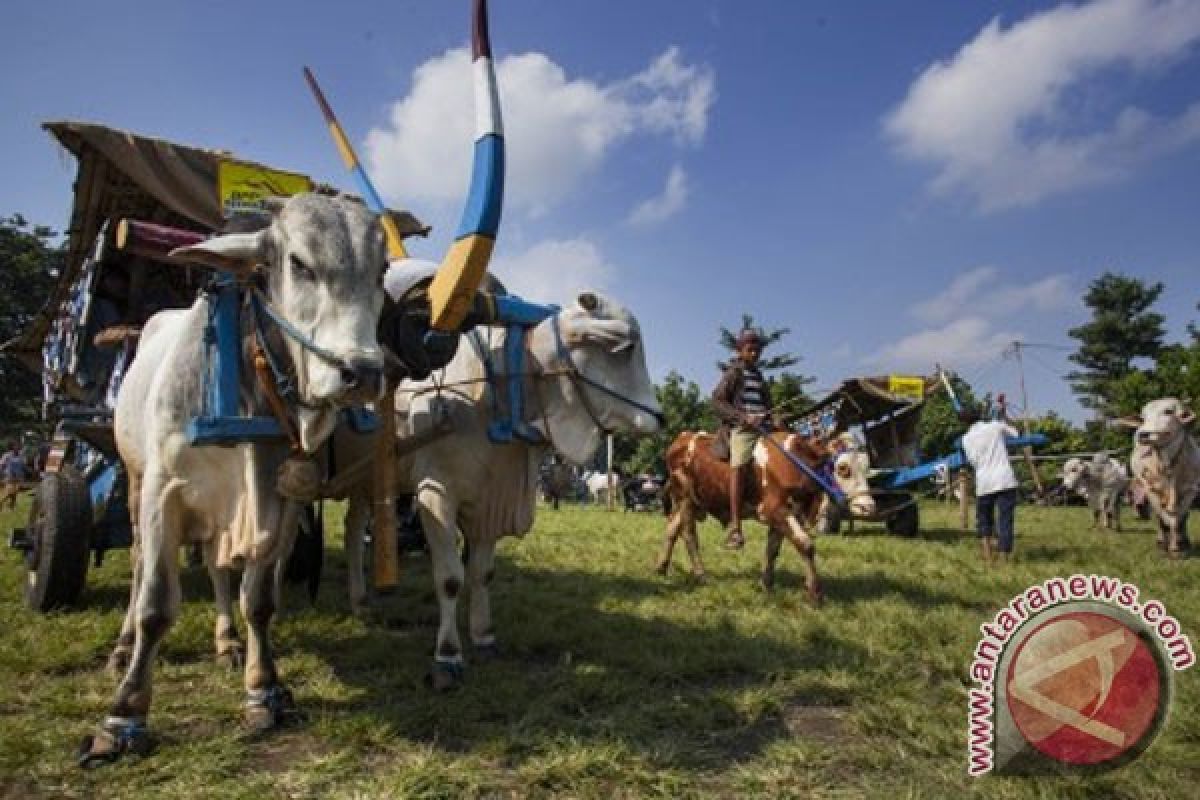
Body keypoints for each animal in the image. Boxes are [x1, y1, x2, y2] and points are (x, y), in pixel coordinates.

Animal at [657, 429, 873, 604]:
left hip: (691, 502)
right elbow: (805, 544)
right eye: (843, 468)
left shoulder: (786, 514)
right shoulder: (775, 510)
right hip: (685, 498)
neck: (794, 462)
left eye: (867, 468)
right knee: (689, 535)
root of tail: (683, 437)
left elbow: (772, 550)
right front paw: (815, 593)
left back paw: (661, 568)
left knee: (672, 529)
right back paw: (701, 574)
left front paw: (766, 585)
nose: (868, 507)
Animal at [1113, 395, 1200, 556]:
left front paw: (1179, 546)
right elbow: (1164, 519)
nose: (1143, 434)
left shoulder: (1191, 489)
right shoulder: (1150, 489)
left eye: (1168, 411)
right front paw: (1168, 547)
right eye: (1143, 417)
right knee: (1160, 517)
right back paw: (1162, 541)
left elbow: (1180, 518)